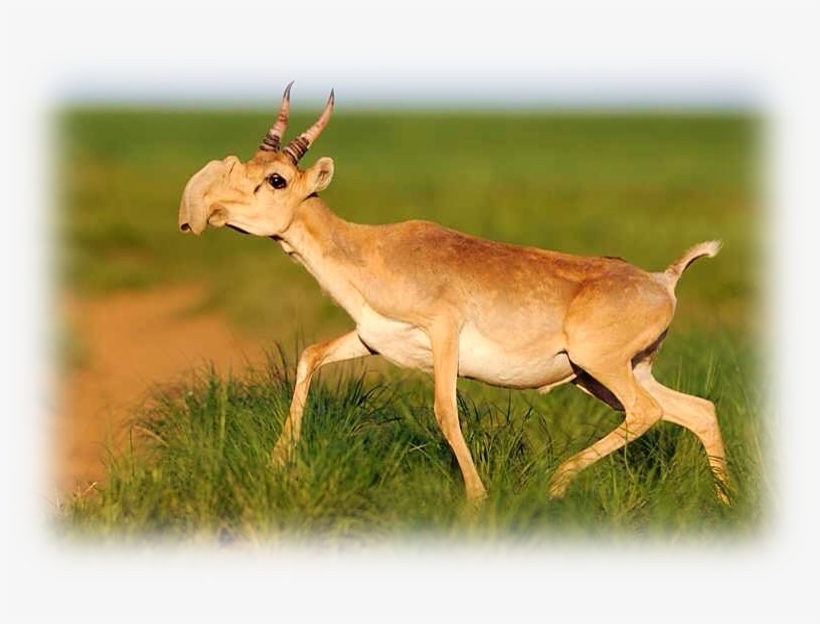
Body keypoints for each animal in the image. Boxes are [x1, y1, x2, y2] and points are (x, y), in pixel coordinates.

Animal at [178, 82, 730, 505]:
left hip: (600, 368)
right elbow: (309, 356)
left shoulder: (444, 333)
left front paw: (477, 499)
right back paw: (723, 503)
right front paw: (277, 464)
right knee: (697, 410)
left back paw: (556, 482)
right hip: (608, 375)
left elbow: (445, 410)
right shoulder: (372, 339)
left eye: (276, 179)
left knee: (649, 412)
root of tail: (662, 280)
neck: (373, 249)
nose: (207, 210)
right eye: (248, 165)